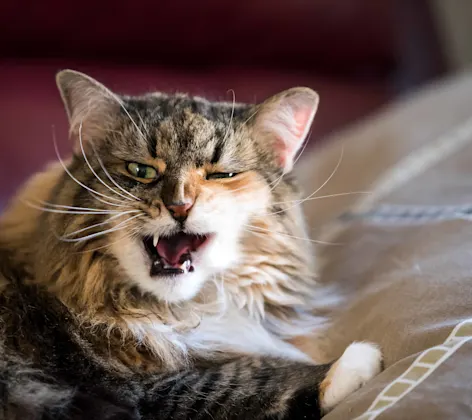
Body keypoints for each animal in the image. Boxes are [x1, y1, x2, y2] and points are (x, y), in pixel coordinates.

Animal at [0, 70, 380, 418]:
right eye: (140, 170)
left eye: (222, 175)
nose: (179, 206)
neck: (178, 314)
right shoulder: (121, 387)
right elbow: (238, 381)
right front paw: (355, 362)